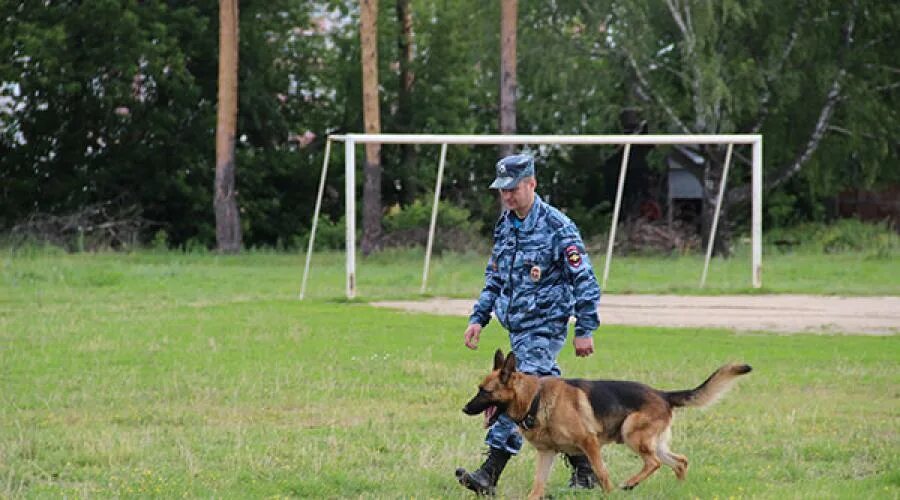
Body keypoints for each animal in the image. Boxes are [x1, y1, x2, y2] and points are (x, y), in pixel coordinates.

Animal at [460, 350, 748, 498]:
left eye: (484, 391)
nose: (464, 408)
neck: (535, 398)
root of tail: (663, 394)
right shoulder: (547, 453)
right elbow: (538, 484)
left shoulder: (589, 443)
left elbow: (601, 473)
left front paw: (609, 493)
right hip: (654, 442)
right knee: (680, 461)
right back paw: (678, 490)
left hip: (631, 433)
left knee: (654, 463)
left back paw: (630, 484)